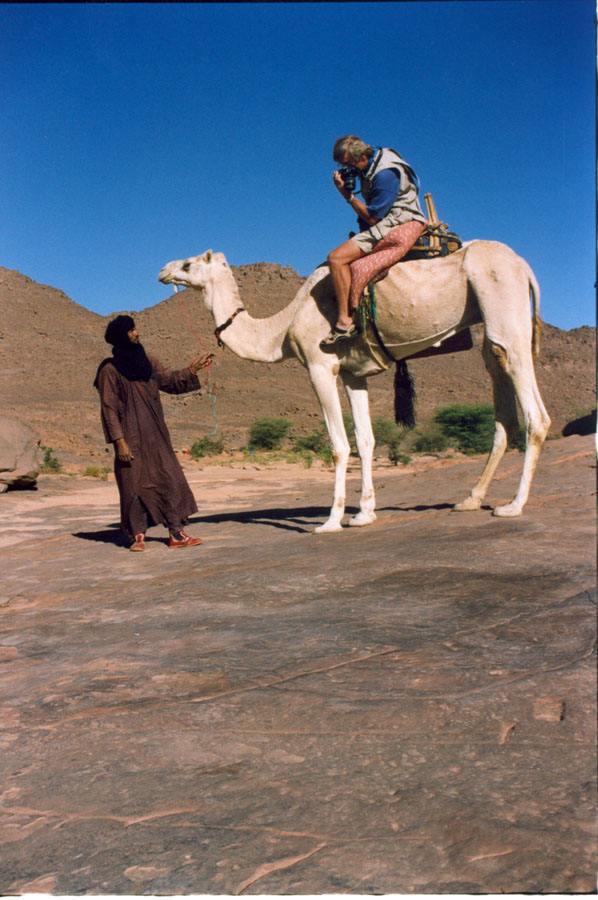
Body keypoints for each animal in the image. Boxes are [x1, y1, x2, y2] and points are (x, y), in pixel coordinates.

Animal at [159, 243, 552, 532]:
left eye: (189, 263)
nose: (163, 270)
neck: (281, 328)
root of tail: (524, 266)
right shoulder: (353, 373)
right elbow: (366, 440)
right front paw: (364, 513)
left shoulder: (320, 366)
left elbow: (338, 445)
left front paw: (331, 521)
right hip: (489, 330)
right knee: (503, 408)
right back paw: (470, 499)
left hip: (503, 307)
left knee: (536, 414)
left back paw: (513, 505)